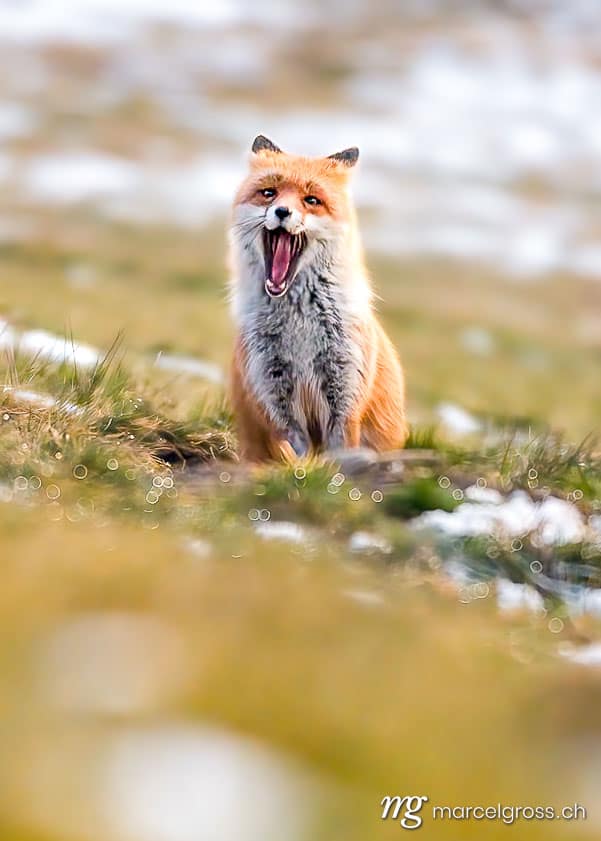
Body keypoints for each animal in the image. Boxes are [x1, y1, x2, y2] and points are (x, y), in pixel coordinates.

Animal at [228, 134, 408, 462]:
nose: (282, 212)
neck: (299, 324)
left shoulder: (345, 390)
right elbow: (298, 451)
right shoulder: (273, 391)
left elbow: (340, 450)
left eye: (311, 200)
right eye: (269, 193)